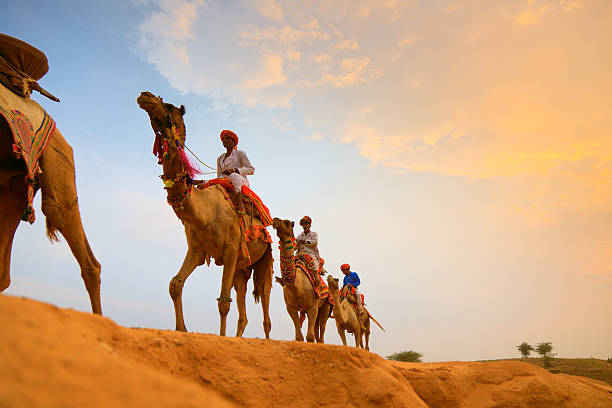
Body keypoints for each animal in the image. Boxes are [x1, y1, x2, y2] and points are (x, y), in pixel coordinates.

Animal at [140, 91, 274, 338]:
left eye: (168, 105)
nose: (145, 96)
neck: (205, 212)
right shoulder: (197, 249)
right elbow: (175, 285)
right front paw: (181, 329)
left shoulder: (231, 250)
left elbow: (223, 302)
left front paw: (220, 336)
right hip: (242, 266)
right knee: (242, 300)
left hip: (264, 257)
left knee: (265, 295)